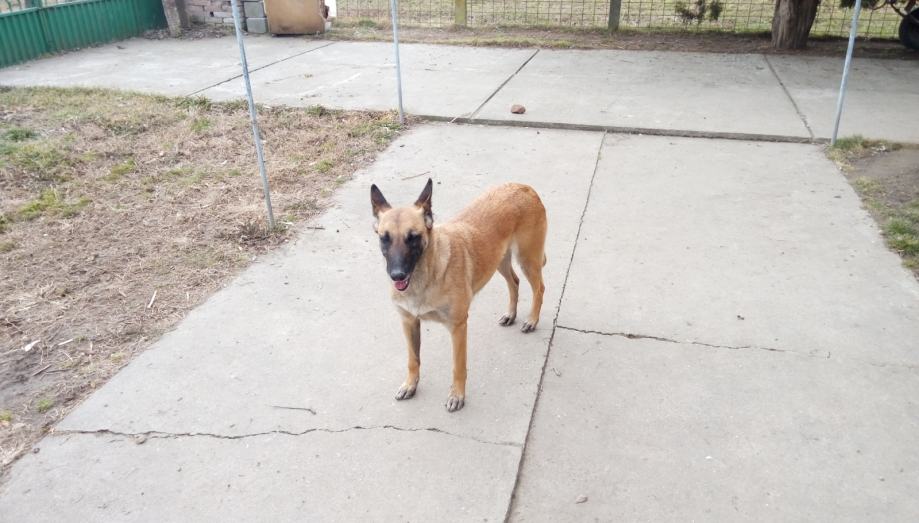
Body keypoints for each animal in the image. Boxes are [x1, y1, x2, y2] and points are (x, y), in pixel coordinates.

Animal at [370, 179, 547, 412]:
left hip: (527, 259)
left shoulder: (458, 327)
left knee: (539, 288)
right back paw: (511, 314)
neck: (425, 275)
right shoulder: (409, 322)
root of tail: (524, 187)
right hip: (499, 260)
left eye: (413, 237)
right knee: (515, 283)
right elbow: (413, 359)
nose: (397, 275)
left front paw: (457, 395)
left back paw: (532, 320)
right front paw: (410, 385)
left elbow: (458, 366)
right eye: (385, 239)